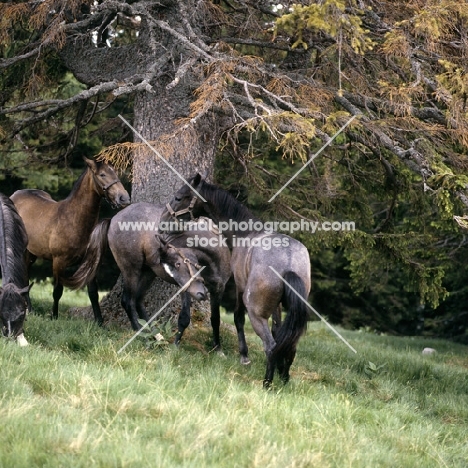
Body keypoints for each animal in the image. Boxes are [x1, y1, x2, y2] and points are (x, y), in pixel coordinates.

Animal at [67, 203, 232, 350]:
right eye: (178, 264)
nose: (201, 293)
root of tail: (114, 218)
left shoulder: (217, 289)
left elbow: (215, 319)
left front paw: (218, 349)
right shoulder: (186, 288)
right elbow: (185, 317)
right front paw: (175, 347)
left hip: (148, 273)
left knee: (138, 301)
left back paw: (156, 336)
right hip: (131, 270)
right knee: (127, 301)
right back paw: (142, 335)